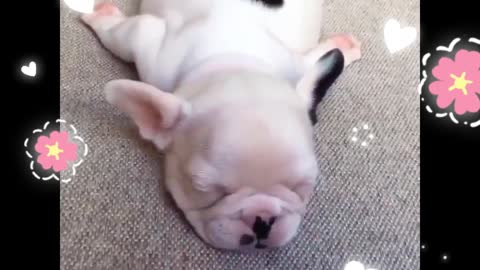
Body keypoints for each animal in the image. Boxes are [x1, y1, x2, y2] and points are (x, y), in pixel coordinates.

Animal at [82, 0, 360, 251]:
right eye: (203, 188)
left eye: (303, 187)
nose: (262, 219)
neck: (235, 57)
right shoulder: (149, 44)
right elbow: (120, 35)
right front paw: (98, 15)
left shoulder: (294, 62)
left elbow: (313, 59)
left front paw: (342, 47)